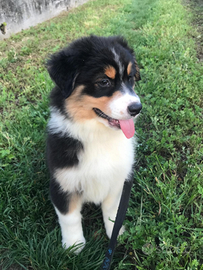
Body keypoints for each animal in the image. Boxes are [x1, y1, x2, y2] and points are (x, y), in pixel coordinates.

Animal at [45, 35, 141, 253]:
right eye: (104, 81)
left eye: (131, 78)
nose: (137, 108)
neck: (98, 135)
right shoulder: (62, 183)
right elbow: (69, 217)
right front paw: (74, 246)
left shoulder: (117, 178)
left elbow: (112, 209)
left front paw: (115, 232)